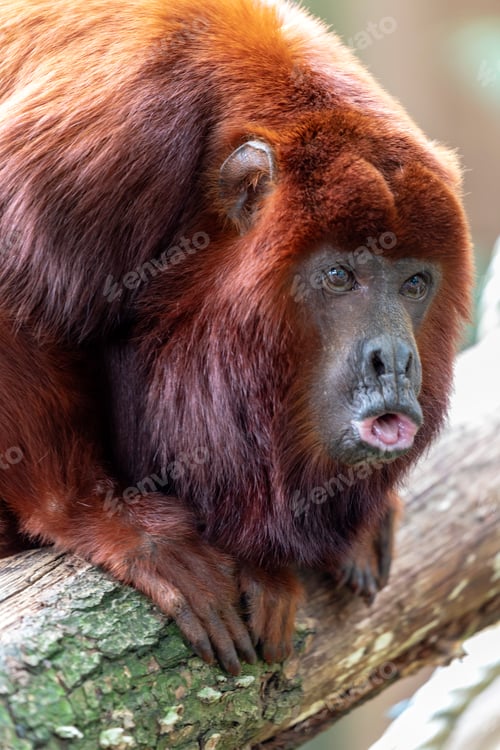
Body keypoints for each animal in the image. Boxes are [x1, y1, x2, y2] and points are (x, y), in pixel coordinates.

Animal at [0, 0, 473, 674]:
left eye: (414, 282)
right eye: (338, 275)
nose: (397, 361)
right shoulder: (107, 142)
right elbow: (16, 302)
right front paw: (111, 523)